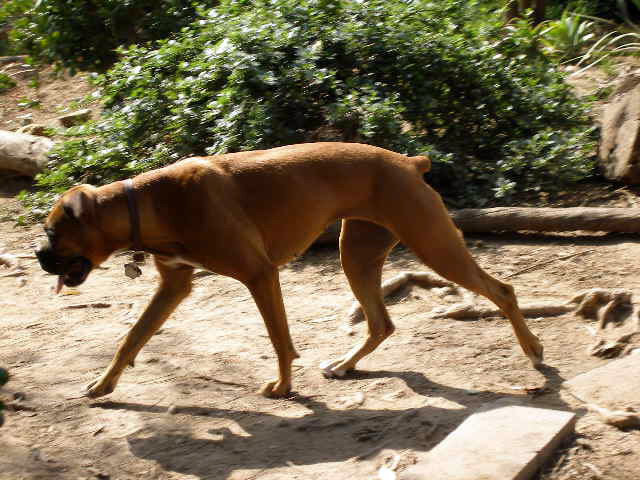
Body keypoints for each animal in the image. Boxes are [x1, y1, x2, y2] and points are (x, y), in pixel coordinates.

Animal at [36, 142, 544, 398]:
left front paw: (283, 386)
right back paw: (344, 365)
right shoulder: (174, 286)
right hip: (357, 255)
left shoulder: (260, 275)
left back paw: (534, 351)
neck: (152, 202)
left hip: (434, 246)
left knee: (502, 289)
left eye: (53, 232)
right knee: (380, 322)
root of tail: (408, 161)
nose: (39, 256)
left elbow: (280, 339)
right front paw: (104, 383)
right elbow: (131, 338)